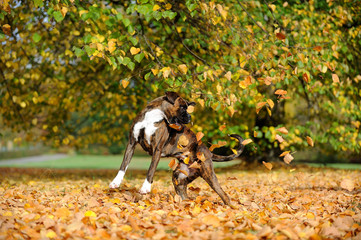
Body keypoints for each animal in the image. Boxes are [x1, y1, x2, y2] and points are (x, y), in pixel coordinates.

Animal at [109, 92, 245, 204]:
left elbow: (151, 170)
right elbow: (123, 165)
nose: (189, 117)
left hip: (208, 174)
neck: (152, 117)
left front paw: (145, 187)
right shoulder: (131, 143)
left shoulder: (157, 149)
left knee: (224, 195)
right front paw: (115, 182)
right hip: (179, 179)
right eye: (183, 107)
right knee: (185, 197)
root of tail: (207, 150)